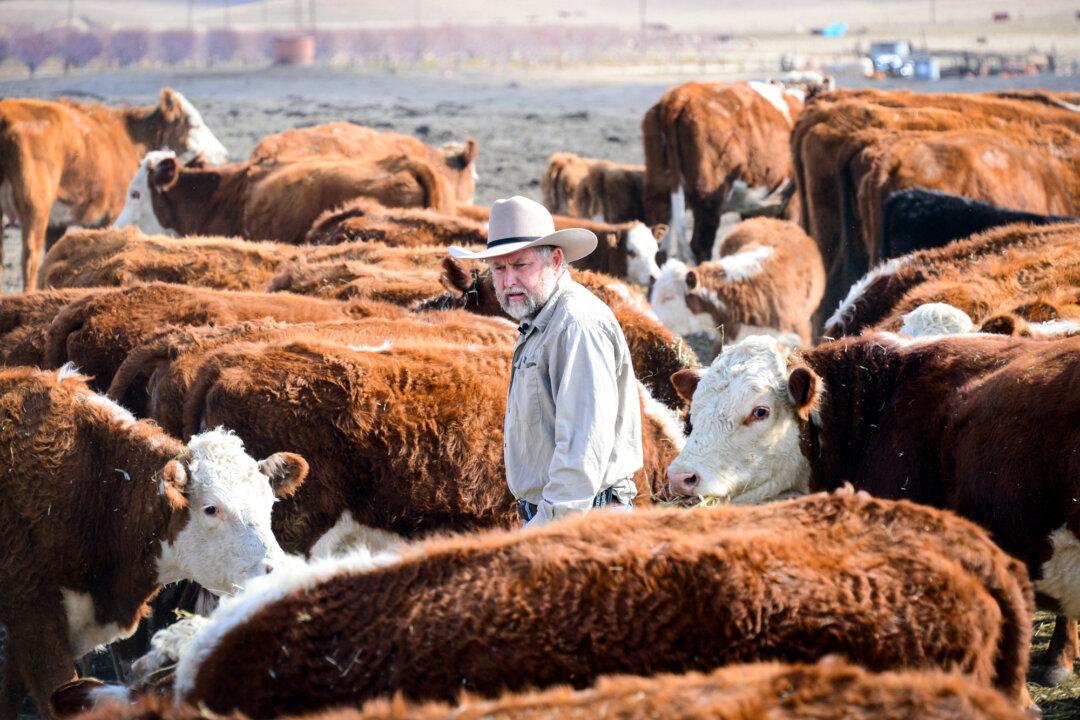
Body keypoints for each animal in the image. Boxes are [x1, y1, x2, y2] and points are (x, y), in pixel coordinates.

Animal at [0, 89, 227, 289]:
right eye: (194, 124)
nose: (224, 154)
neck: (131, 138)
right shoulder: (109, 214)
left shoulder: (57, 224)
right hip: (35, 207)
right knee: (30, 258)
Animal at [639, 82, 803, 262]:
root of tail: (679, 95)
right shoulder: (793, 201)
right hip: (709, 197)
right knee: (699, 247)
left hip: (659, 191)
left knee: (658, 245)